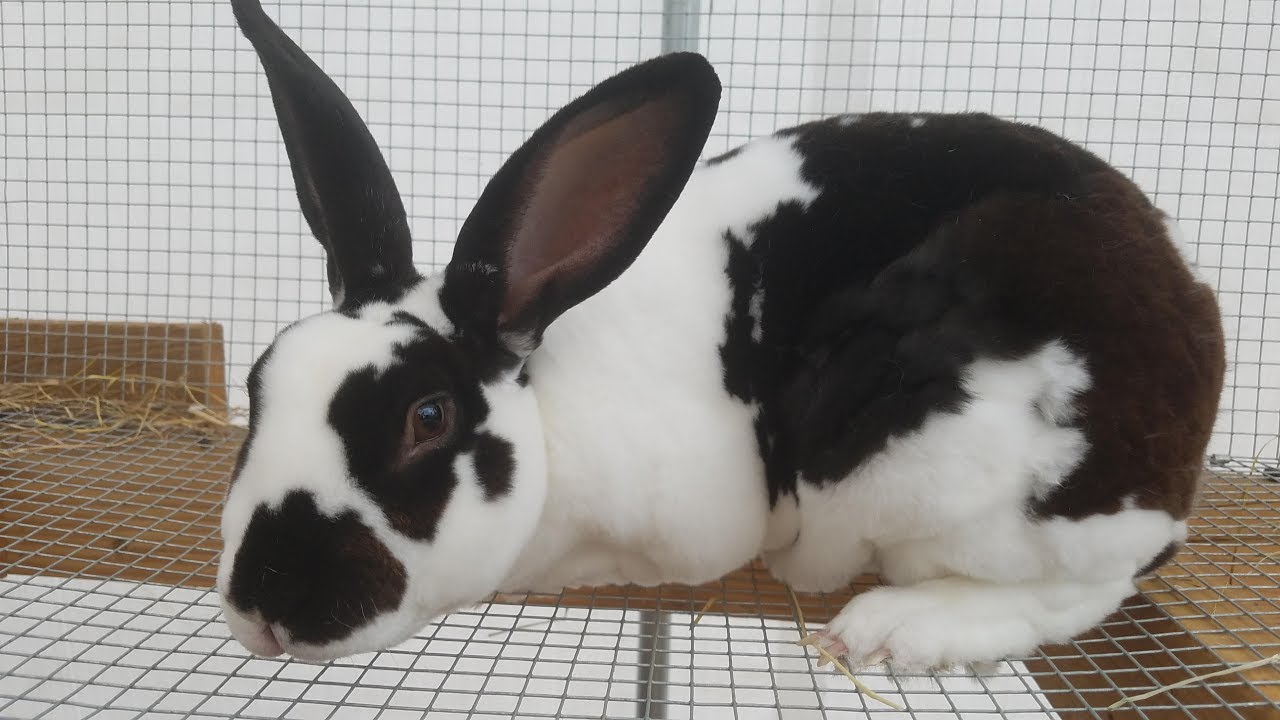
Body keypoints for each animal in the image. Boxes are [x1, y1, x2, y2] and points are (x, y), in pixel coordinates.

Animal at [218, 0, 1226, 671]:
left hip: (930, 465)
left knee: (1088, 585)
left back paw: (895, 630)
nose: (266, 606)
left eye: (427, 417)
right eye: (258, 383)